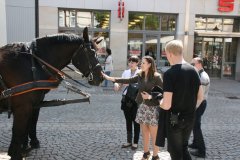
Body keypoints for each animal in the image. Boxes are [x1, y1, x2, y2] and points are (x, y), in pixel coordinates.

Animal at [0, 27, 103, 160]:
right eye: (91, 53)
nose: (101, 78)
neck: (34, 63)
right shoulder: (22, 107)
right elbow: (18, 132)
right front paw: (19, 151)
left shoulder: (34, 103)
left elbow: (31, 122)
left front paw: (28, 145)